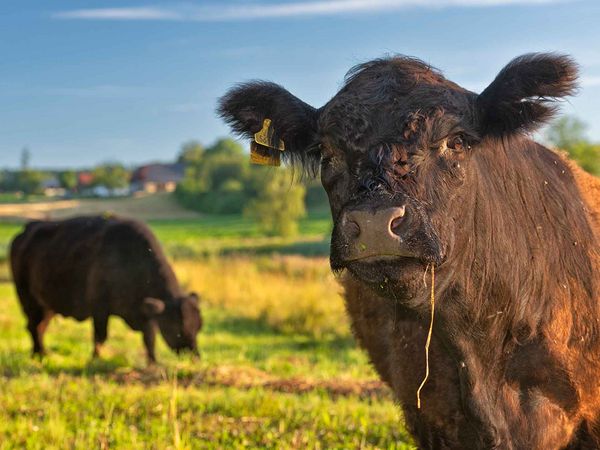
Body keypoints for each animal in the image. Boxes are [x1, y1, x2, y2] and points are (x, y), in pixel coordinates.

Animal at [9, 214, 202, 362]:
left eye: (198, 327)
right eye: (178, 331)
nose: (194, 357)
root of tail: (27, 229)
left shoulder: (145, 313)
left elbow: (149, 338)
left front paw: (153, 363)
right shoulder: (99, 309)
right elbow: (100, 336)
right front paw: (95, 359)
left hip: (47, 305)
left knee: (40, 326)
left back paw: (41, 353)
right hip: (28, 299)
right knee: (33, 326)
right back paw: (40, 354)